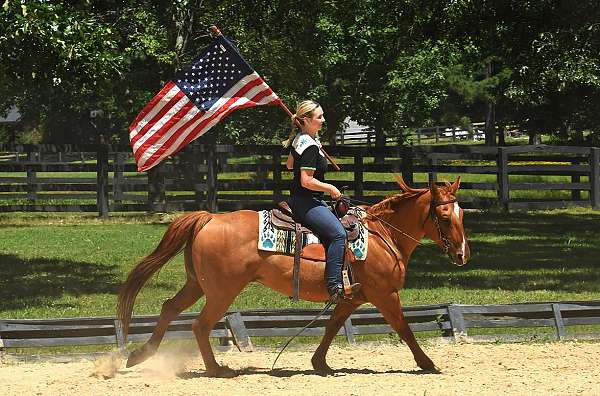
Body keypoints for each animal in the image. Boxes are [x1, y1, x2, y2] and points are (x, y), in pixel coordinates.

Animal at [116, 175, 468, 376]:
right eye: (444, 216)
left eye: (461, 213)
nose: (463, 254)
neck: (384, 235)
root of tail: (209, 218)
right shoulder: (384, 295)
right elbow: (404, 329)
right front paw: (427, 364)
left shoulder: (352, 297)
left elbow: (332, 327)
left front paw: (320, 363)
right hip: (221, 292)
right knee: (199, 325)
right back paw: (216, 369)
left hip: (197, 285)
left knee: (170, 308)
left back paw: (139, 355)